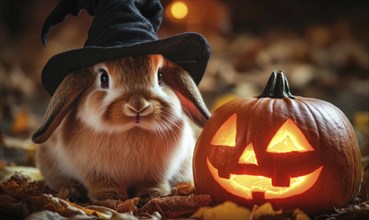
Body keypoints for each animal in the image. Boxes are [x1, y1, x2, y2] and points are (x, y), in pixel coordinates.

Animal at [32, 54, 210, 201]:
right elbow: (103, 184)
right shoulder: (95, 172)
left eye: (160, 77)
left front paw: (153, 194)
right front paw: (111, 197)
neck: (133, 131)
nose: (138, 105)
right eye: (104, 78)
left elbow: (153, 182)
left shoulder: (158, 171)